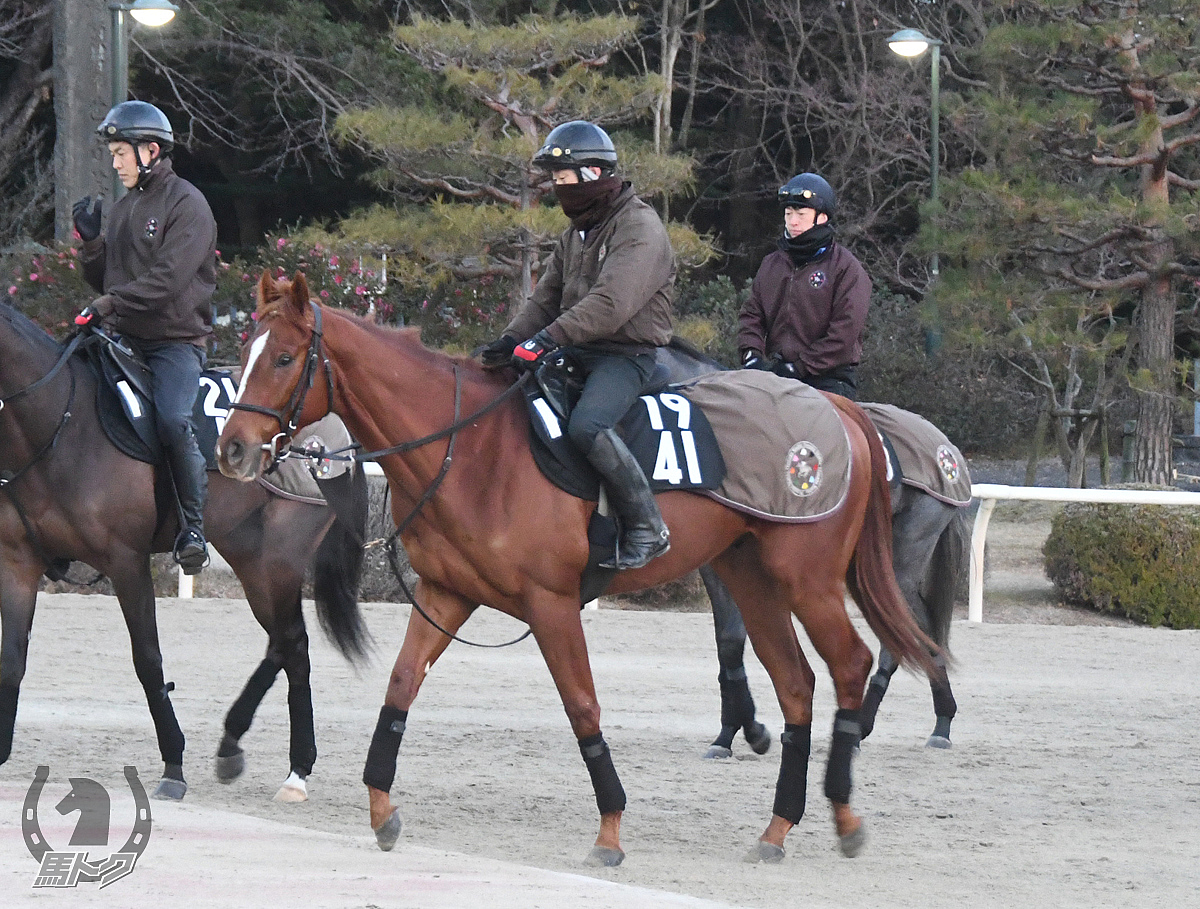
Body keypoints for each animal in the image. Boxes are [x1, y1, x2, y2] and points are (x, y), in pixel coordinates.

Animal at [0, 301, 367, 805]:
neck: (62, 420)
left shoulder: (127, 562)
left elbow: (147, 660)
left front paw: (173, 762)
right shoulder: (18, 563)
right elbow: (12, 660)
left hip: (278, 560)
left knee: (290, 641)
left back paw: (281, 762)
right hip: (251, 558)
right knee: (288, 645)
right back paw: (256, 752)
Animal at [216, 272, 931, 868]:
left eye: (284, 358)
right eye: (247, 352)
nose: (232, 449)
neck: (470, 447)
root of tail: (836, 410)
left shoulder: (552, 604)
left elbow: (582, 706)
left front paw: (610, 830)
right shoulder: (448, 595)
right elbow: (400, 687)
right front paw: (381, 808)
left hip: (807, 580)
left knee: (850, 667)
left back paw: (843, 815)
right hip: (751, 578)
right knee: (795, 684)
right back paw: (778, 827)